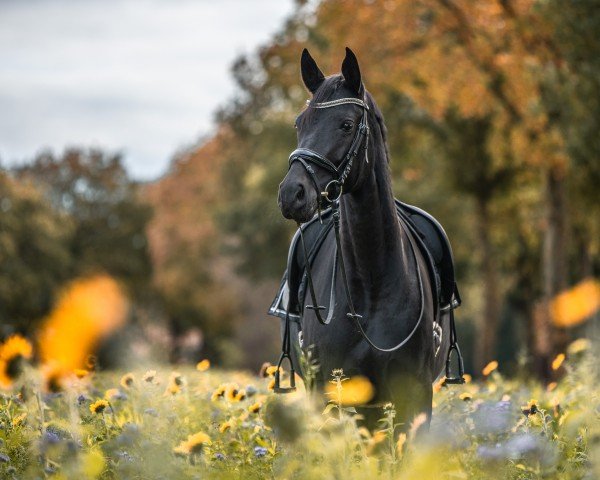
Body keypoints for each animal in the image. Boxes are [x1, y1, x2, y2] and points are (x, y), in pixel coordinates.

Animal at [272, 46, 464, 428]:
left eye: (346, 125)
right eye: (299, 123)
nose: (291, 195)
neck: (371, 282)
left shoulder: (415, 397)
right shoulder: (330, 394)